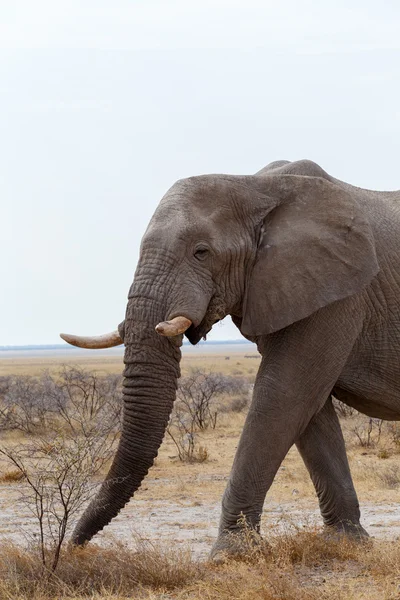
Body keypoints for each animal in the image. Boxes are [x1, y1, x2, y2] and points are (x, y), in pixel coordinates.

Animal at [61, 158, 400, 556]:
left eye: (201, 252)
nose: (73, 546)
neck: (256, 186)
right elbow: (309, 409)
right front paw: (345, 542)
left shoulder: (339, 293)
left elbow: (283, 395)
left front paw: (230, 554)